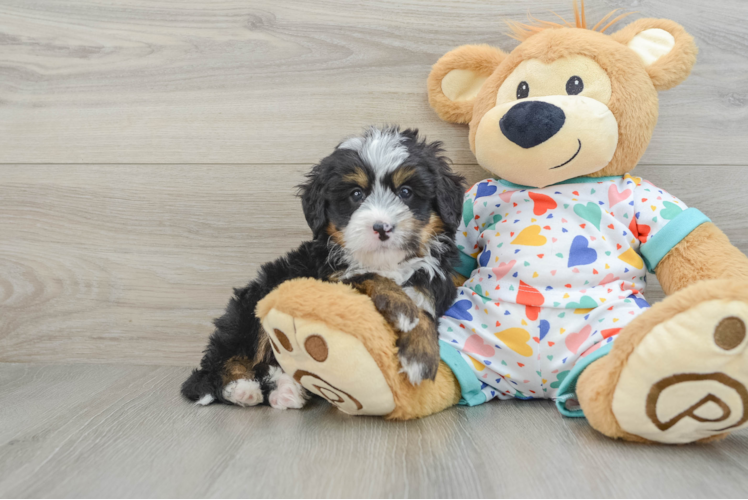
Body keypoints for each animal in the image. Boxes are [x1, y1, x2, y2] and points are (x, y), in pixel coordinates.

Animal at [180, 127, 462, 412]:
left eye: (405, 192)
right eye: (356, 195)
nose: (382, 227)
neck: (384, 262)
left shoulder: (431, 281)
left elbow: (424, 309)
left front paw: (420, 354)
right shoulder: (330, 277)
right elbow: (369, 276)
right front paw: (404, 311)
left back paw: (286, 390)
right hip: (258, 300)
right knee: (225, 362)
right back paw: (242, 388)